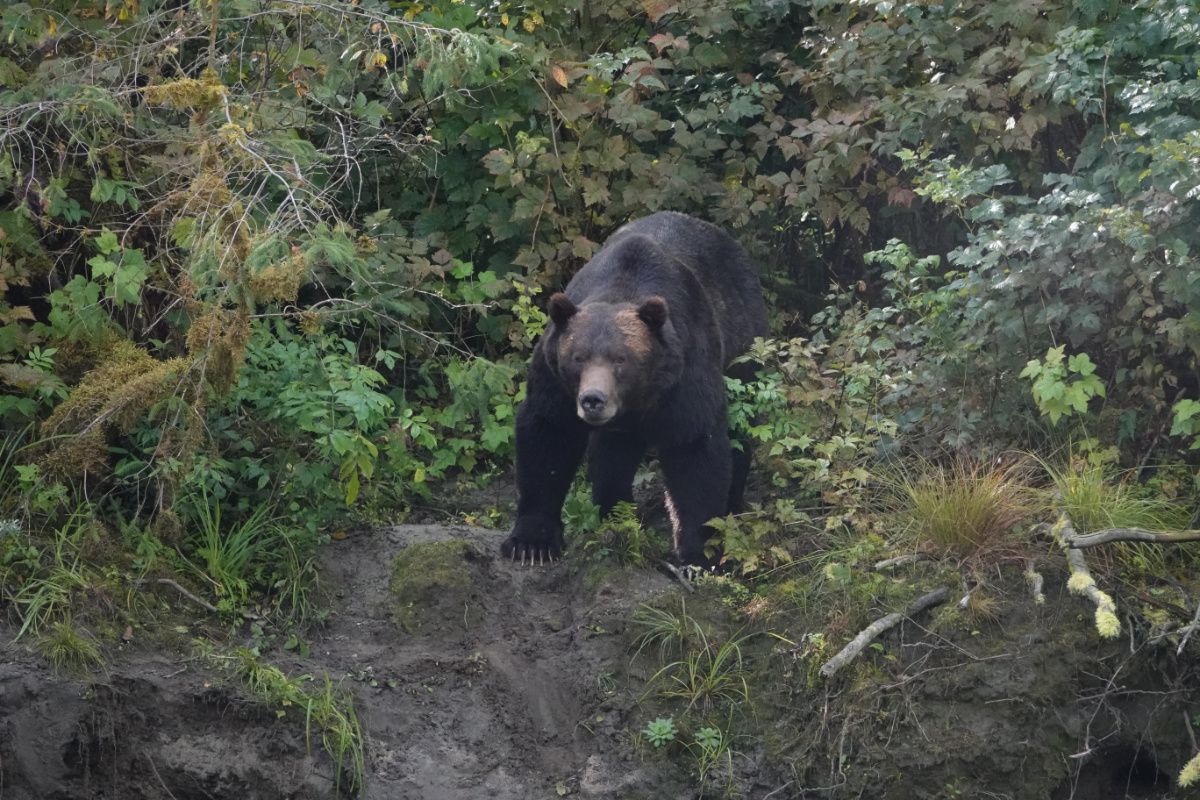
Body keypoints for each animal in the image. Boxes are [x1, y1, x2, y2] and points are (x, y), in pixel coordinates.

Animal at [499, 209, 768, 566]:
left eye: (620, 359)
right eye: (578, 357)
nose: (592, 399)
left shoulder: (686, 372)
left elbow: (695, 447)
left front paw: (696, 554)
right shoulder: (554, 379)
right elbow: (548, 435)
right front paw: (532, 543)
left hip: (745, 343)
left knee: (741, 428)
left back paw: (733, 506)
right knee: (611, 456)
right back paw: (614, 512)